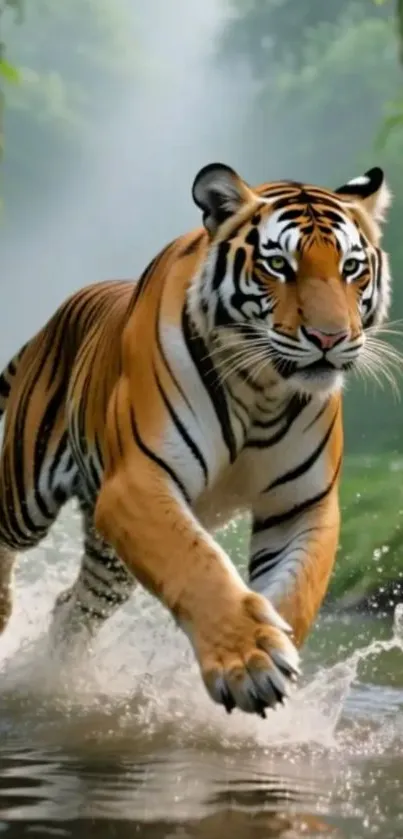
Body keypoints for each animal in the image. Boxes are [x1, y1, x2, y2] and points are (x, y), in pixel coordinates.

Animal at [0, 162, 392, 717]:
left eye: (351, 267)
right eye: (279, 265)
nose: (329, 338)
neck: (262, 389)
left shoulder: (302, 505)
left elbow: (297, 591)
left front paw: (276, 648)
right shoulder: (139, 482)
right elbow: (196, 563)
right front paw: (249, 662)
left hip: (109, 563)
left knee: (74, 608)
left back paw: (58, 677)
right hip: (26, 495)